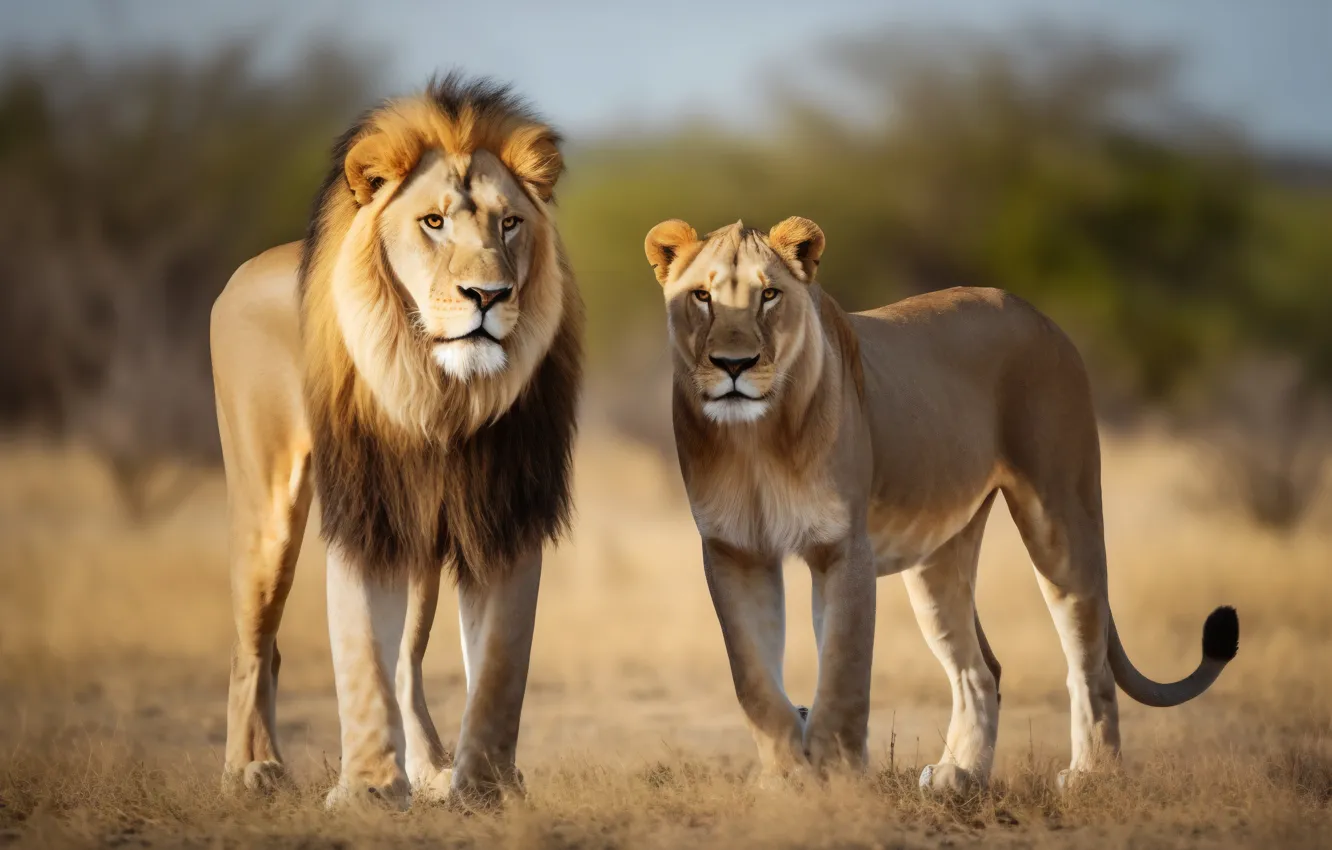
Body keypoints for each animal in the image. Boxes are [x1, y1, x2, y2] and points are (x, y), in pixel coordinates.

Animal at [210, 75, 582, 809]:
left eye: (509, 222)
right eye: (433, 223)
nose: (488, 295)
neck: (443, 394)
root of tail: (243, 271)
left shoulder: (502, 514)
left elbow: (498, 667)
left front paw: (486, 787)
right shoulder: (366, 512)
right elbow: (360, 657)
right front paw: (368, 793)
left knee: (406, 662)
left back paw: (434, 770)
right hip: (266, 505)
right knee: (253, 644)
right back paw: (251, 771)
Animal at [644, 217, 1238, 793]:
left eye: (769, 295)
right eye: (702, 296)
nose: (735, 364)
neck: (756, 437)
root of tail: (1038, 314)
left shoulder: (843, 547)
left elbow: (843, 671)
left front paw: (836, 775)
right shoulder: (733, 551)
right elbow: (754, 680)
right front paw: (785, 777)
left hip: (1061, 514)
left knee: (1086, 656)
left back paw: (1094, 775)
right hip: (940, 555)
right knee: (979, 670)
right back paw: (960, 776)